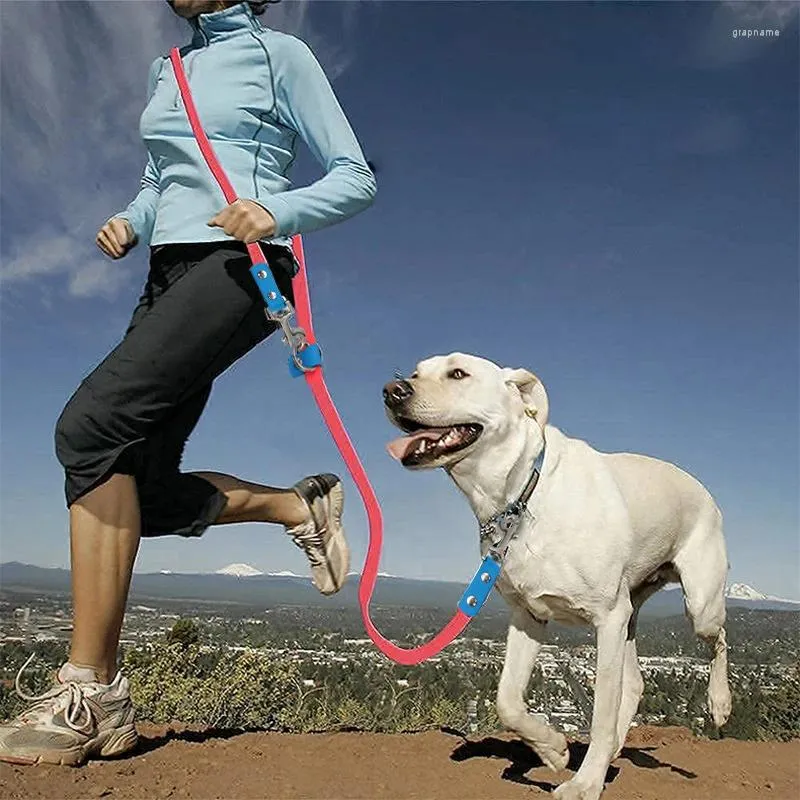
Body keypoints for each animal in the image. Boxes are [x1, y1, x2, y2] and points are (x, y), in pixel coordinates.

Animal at [386, 354, 732, 796]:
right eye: (415, 373)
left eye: (458, 373)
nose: (392, 391)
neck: (522, 496)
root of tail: (701, 488)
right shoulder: (529, 616)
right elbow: (507, 700)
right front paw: (552, 749)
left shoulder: (607, 618)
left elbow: (600, 714)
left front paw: (585, 784)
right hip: (631, 615)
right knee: (636, 683)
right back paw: (612, 750)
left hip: (698, 603)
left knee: (718, 639)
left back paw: (719, 704)